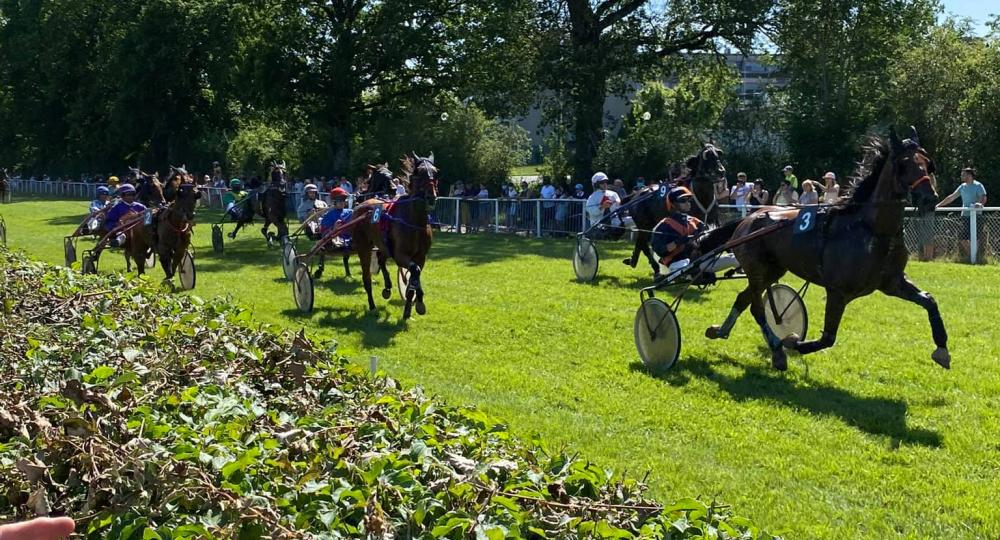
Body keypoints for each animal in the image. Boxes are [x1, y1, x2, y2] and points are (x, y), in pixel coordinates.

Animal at [354, 154, 436, 318]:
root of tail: (362, 205)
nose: (431, 196)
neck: (414, 221)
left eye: (435, 172)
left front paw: (413, 305)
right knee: (366, 278)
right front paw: (418, 301)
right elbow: (415, 271)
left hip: (383, 246)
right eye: (419, 172)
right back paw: (372, 305)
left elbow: (415, 275)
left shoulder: (421, 256)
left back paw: (387, 287)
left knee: (381, 259)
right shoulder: (400, 255)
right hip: (364, 248)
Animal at [624, 142, 728, 278]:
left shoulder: (713, 220)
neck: (702, 197)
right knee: (643, 244)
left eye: (717, 154)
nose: (721, 171)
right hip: (644, 225)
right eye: (706, 156)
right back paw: (654, 268)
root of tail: (636, 195)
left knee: (641, 243)